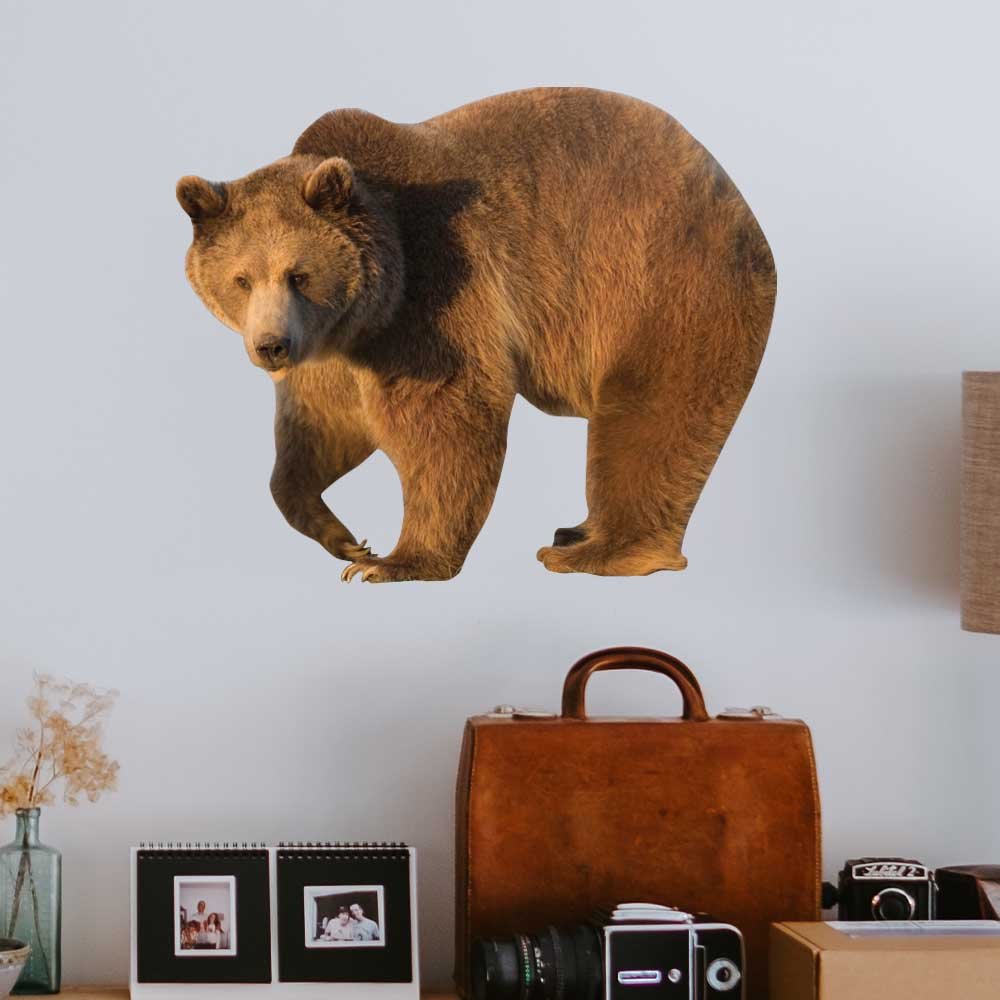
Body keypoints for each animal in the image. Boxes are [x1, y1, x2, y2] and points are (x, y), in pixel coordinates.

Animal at [176, 87, 776, 582]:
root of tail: (737, 198)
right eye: (241, 279)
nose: (270, 346)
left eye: (297, 274)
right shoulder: (334, 351)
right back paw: (576, 531)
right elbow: (320, 429)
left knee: (648, 416)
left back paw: (596, 551)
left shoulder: (439, 290)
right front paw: (345, 540)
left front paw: (396, 562)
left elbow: (446, 418)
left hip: (658, 280)